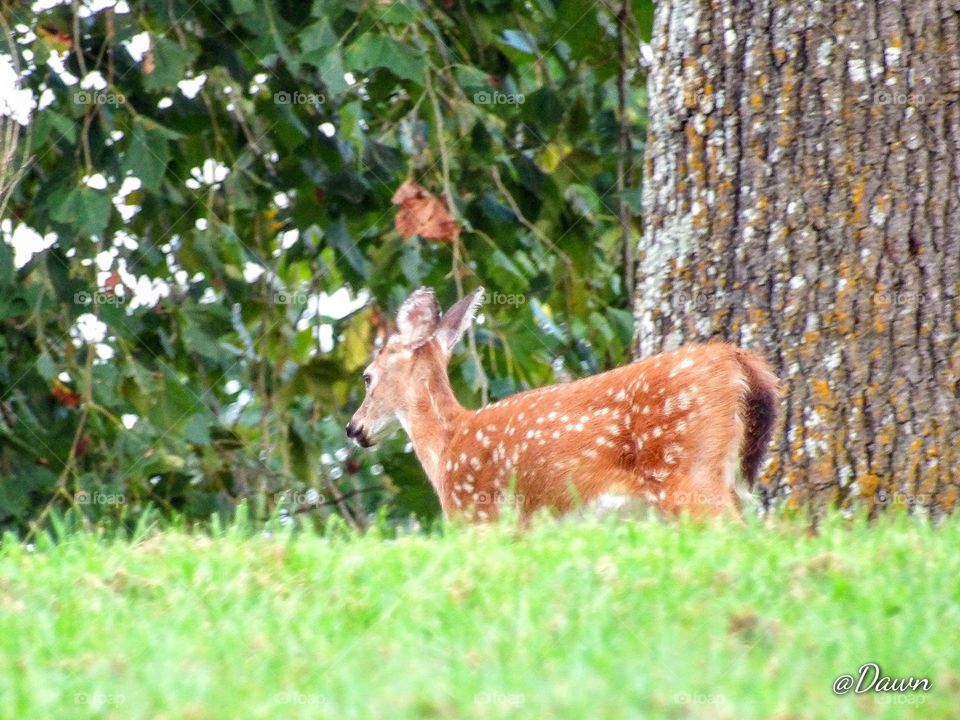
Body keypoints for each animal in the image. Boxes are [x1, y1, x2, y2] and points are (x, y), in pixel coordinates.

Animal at [346, 287, 779, 522]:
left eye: (367, 377)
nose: (354, 428)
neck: (447, 444)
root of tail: (736, 360)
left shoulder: (478, 513)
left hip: (685, 468)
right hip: (732, 476)